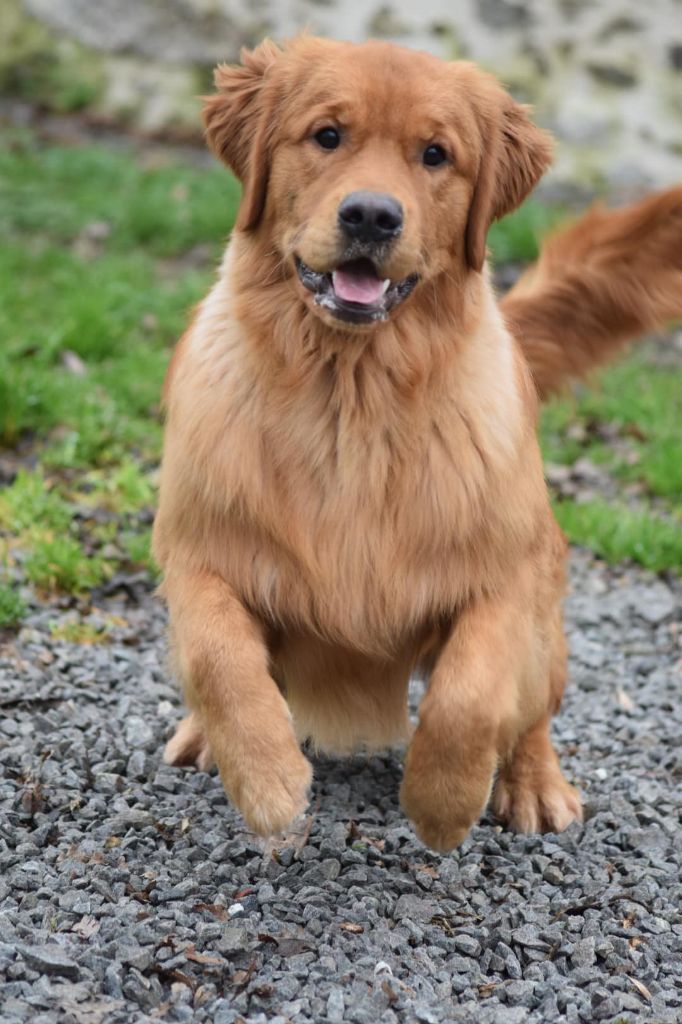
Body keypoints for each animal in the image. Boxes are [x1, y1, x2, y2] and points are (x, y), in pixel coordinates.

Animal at [152, 34, 679, 847]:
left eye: (435, 154)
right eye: (326, 135)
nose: (372, 215)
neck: (350, 394)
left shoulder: (504, 574)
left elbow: (471, 694)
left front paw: (442, 803)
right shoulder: (196, 549)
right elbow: (219, 659)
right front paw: (268, 783)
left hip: (547, 611)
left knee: (533, 713)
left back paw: (533, 784)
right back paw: (203, 736)